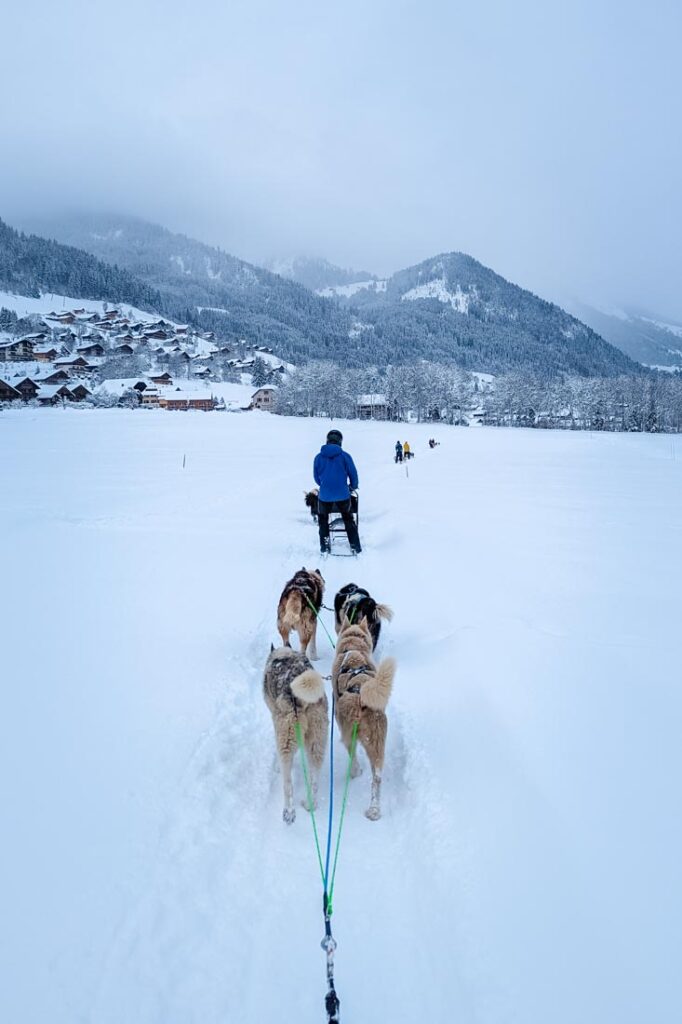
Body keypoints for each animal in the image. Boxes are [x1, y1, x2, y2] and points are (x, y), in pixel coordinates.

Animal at [260, 647, 327, 823]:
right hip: (317, 741)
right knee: (315, 778)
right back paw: (311, 804)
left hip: (287, 739)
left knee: (288, 783)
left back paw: (288, 811)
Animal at [329, 614, 393, 823]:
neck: (354, 648)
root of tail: (361, 697)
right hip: (378, 743)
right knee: (377, 777)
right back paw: (374, 810)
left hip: (348, 733)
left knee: (353, 754)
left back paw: (355, 772)